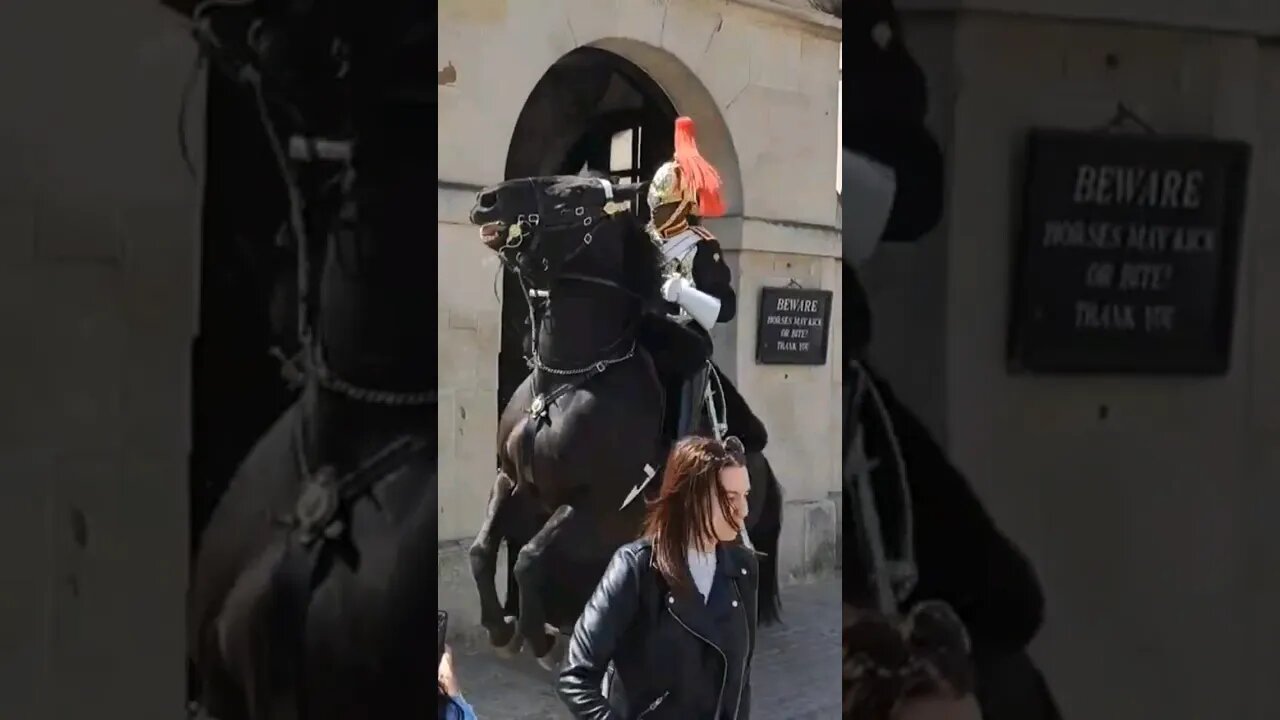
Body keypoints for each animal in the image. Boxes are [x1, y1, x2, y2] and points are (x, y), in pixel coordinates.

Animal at [465, 174, 783, 666]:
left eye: (574, 195)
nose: (486, 200)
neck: (564, 380)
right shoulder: (513, 480)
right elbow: (483, 550)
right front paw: (501, 627)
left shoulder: (594, 505)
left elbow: (529, 558)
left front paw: (537, 637)